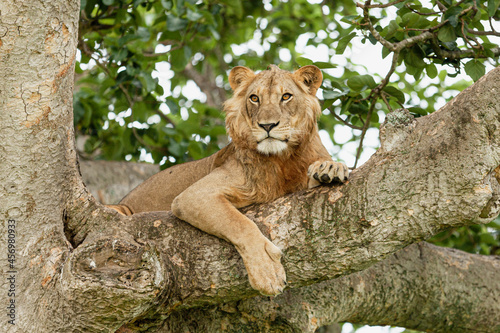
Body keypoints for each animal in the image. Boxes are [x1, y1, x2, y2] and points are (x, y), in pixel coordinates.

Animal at [106, 64, 348, 294]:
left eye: (286, 96)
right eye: (254, 98)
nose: (267, 126)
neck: (282, 159)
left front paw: (330, 168)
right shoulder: (194, 196)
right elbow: (241, 224)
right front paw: (267, 274)